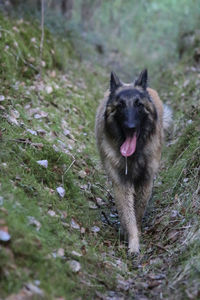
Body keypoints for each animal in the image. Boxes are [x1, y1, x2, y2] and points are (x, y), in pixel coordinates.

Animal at [95, 69, 172, 253]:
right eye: (121, 105)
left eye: (138, 105)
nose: (130, 127)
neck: (135, 154)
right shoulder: (121, 184)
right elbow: (127, 214)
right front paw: (133, 242)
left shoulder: (145, 181)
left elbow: (137, 211)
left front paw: (136, 237)